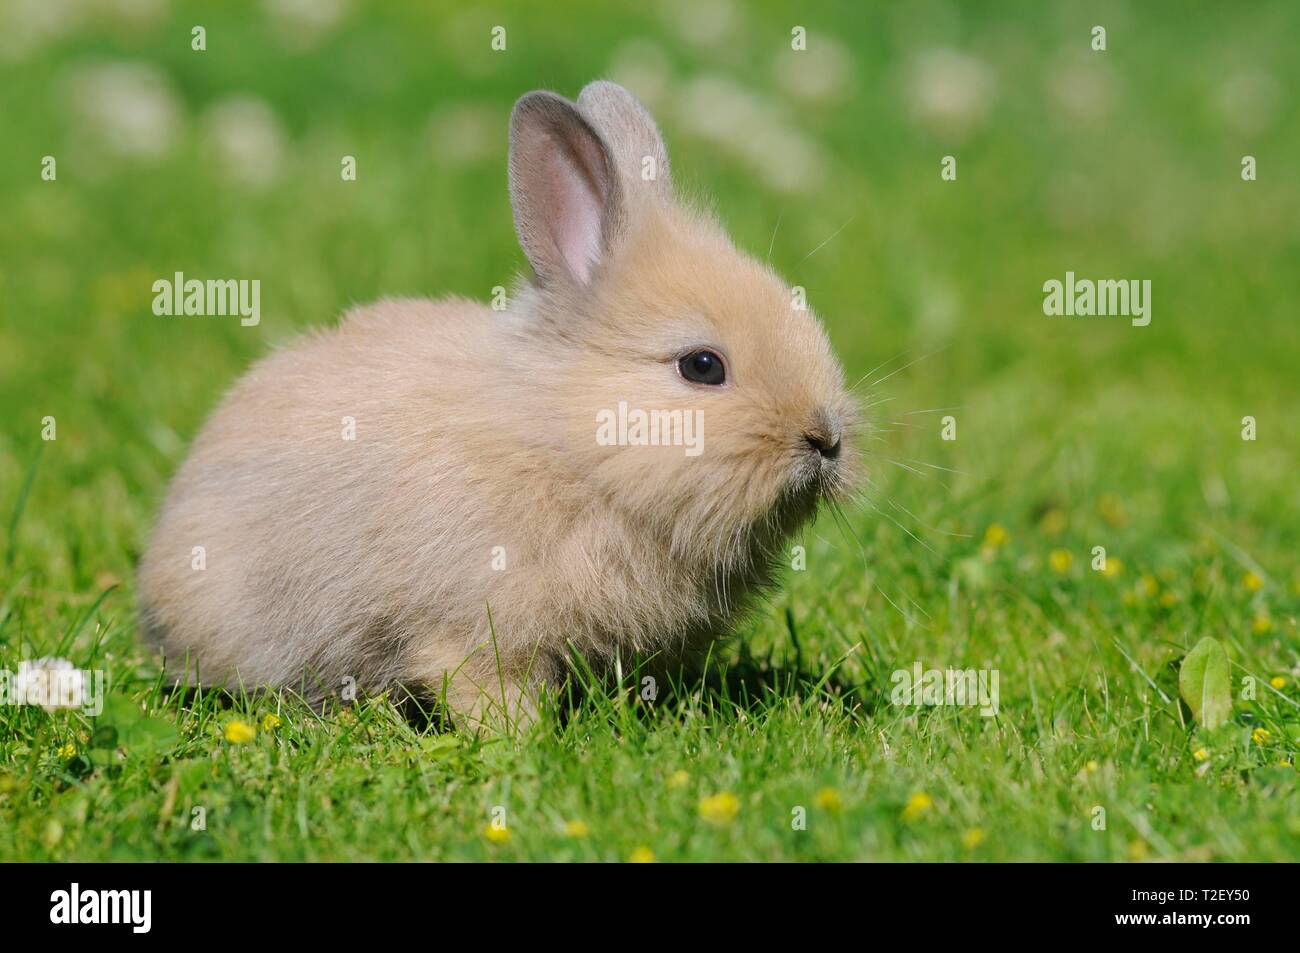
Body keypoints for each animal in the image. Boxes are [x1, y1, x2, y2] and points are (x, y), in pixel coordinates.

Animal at [137, 81, 859, 726]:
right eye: (702, 366)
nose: (824, 439)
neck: (566, 444)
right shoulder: (472, 632)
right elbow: (484, 687)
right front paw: (521, 742)